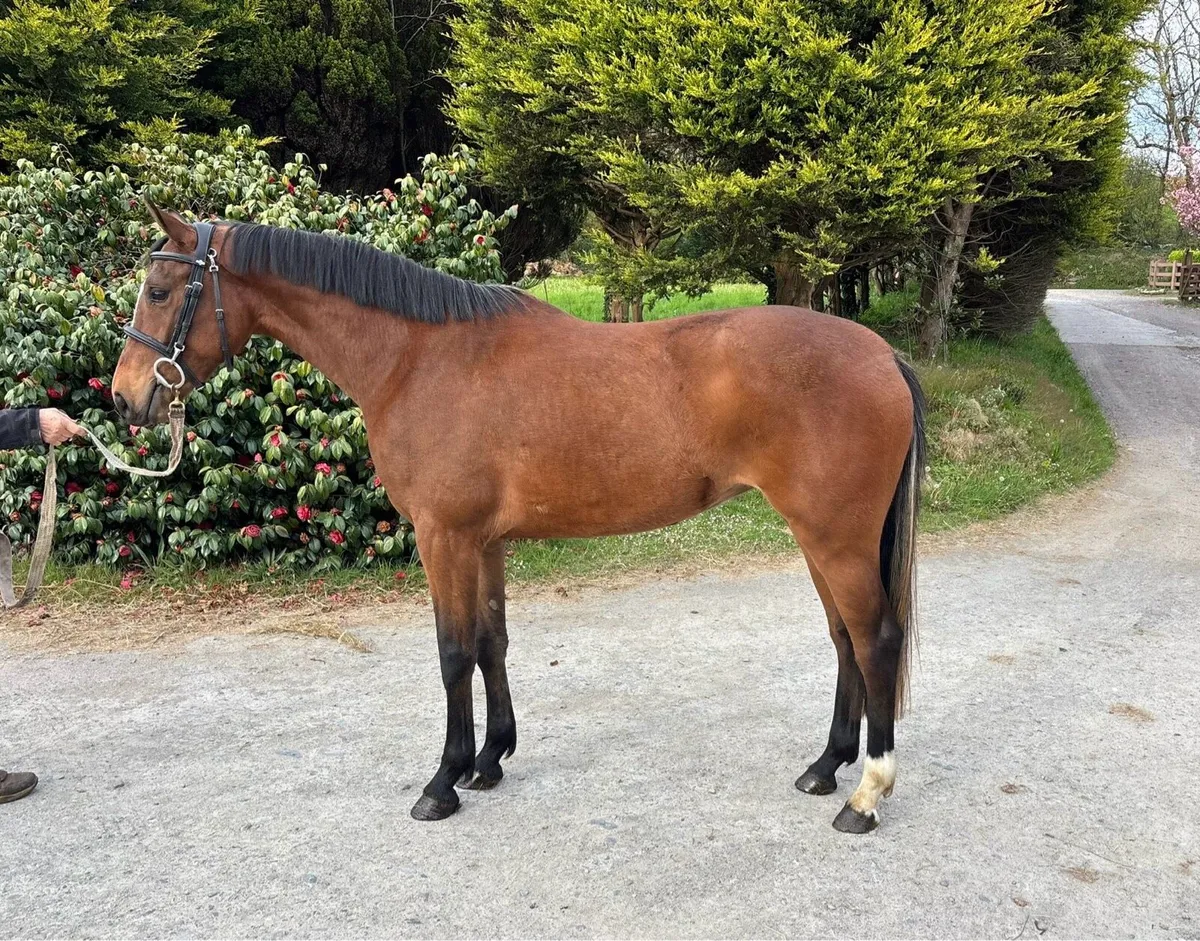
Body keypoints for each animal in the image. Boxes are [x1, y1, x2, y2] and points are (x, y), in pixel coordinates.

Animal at [111, 204, 926, 834]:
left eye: (159, 289)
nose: (124, 397)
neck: (417, 358)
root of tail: (882, 354)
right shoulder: (484, 542)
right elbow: (490, 642)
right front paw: (490, 760)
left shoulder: (442, 536)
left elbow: (451, 652)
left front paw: (442, 783)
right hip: (819, 539)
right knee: (845, 640)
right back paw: (825, 767)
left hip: (836, 538)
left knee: (875, 638)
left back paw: (866, 794)